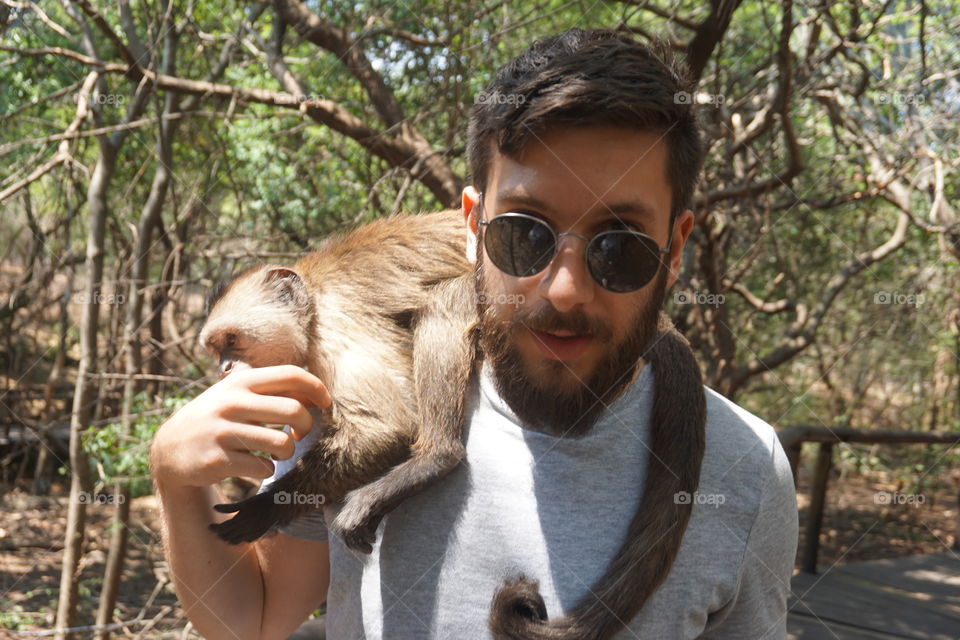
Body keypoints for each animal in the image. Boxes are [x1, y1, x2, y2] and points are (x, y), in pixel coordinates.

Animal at [200, 209, 480, 553]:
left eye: (232, 339)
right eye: (216, 349)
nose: (224, 367)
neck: (312, 305)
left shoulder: (335, 321)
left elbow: (389, 427)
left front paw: (266, 506)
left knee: (445, 298)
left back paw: (436, 455)